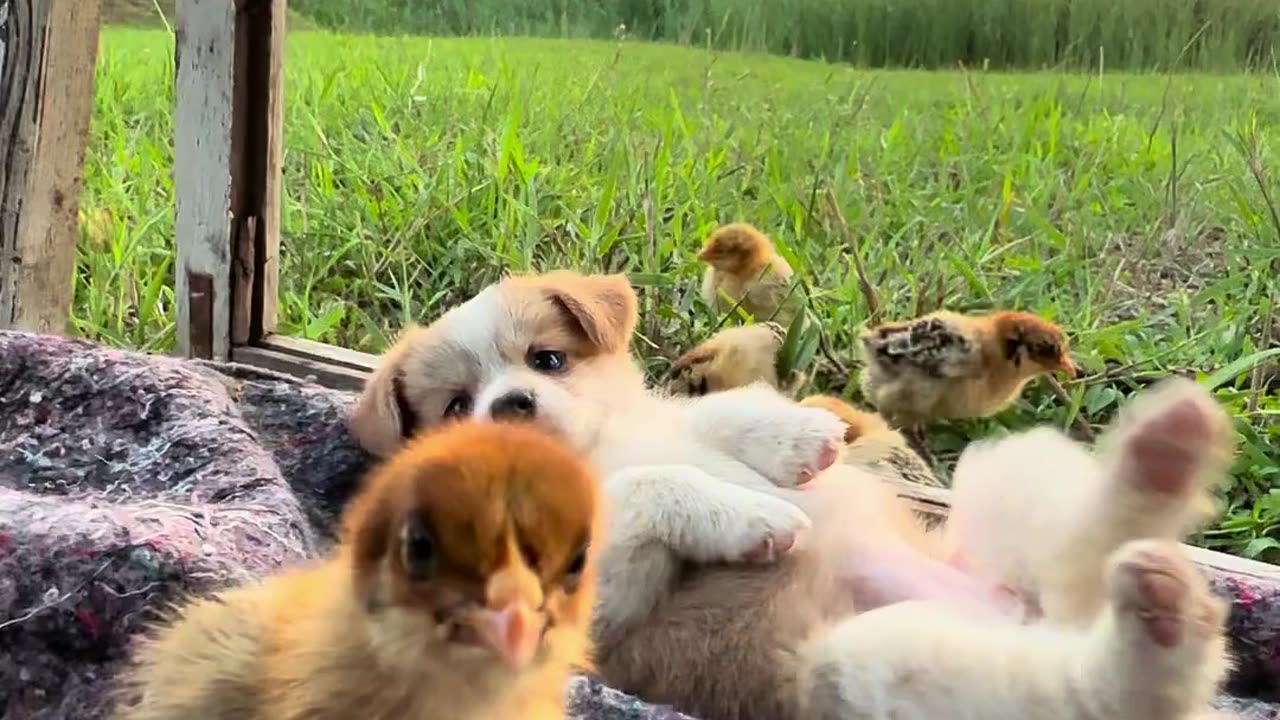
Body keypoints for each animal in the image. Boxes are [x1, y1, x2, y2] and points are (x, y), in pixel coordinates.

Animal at [355, 269, 1233, 717]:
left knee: (1082, 558)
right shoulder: (580, 614)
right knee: (1107, 690)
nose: (510, 408)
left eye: (547, 360)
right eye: (455, 407)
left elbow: (721, 415)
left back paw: (1162, 454)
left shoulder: (676, 418)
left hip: (1008, 472)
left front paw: (797, 439)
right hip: (864, 664)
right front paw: (746, 514)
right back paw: (1157, 620)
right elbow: (646, 486)